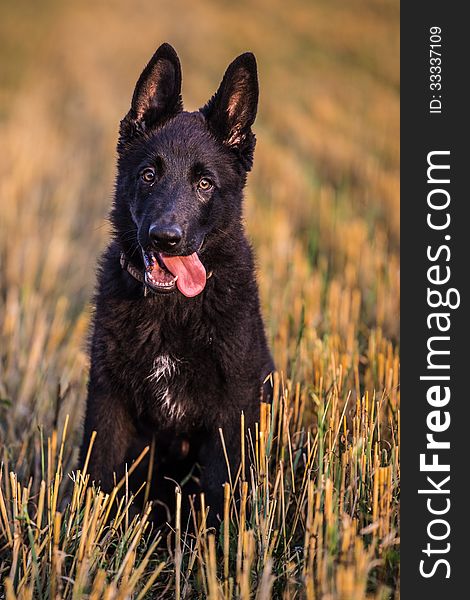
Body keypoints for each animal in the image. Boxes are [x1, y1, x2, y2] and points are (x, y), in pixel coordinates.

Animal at [79, 42, 274, 528]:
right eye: (149, 175)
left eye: (205, 183)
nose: (165, 238)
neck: (172, 309)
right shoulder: (108, 401)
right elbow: (97, 478)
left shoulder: (230, 413)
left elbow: (224, 493)